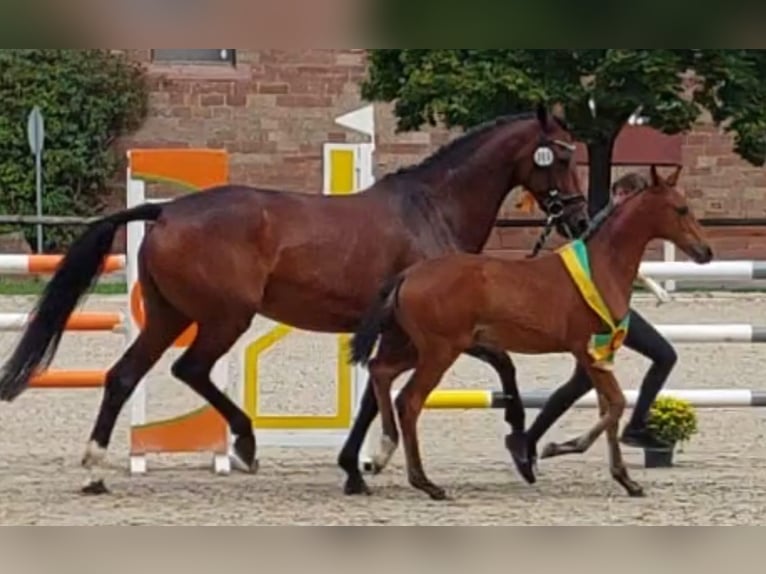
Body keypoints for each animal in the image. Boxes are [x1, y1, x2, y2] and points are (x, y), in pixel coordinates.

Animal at [0, 104, 589, 495]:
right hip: (224, 318)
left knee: (123, 375)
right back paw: (244, 444)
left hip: (169, 317)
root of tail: (165, 211)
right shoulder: (439, 333)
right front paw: (520, 449)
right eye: (559, 159)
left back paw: (96, 466)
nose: (580, 219)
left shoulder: (399, 334)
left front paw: (357, 468)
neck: (432, 208)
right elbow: (503, 369)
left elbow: (374, 392)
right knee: (190, 370)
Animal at [348, 165, 713, 501]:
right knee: (409, 401)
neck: (601, 268)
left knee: (381, 372)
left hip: (418, 348)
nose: (705, 252)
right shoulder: (586, 349)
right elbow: (616, 404)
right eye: (681, 209)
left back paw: (381, 454)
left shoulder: (600, 354)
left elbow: (608, 407)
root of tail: (408, 274)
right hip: (440, 352)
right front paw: (560, 447)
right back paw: (425, 482)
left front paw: (625, 480)